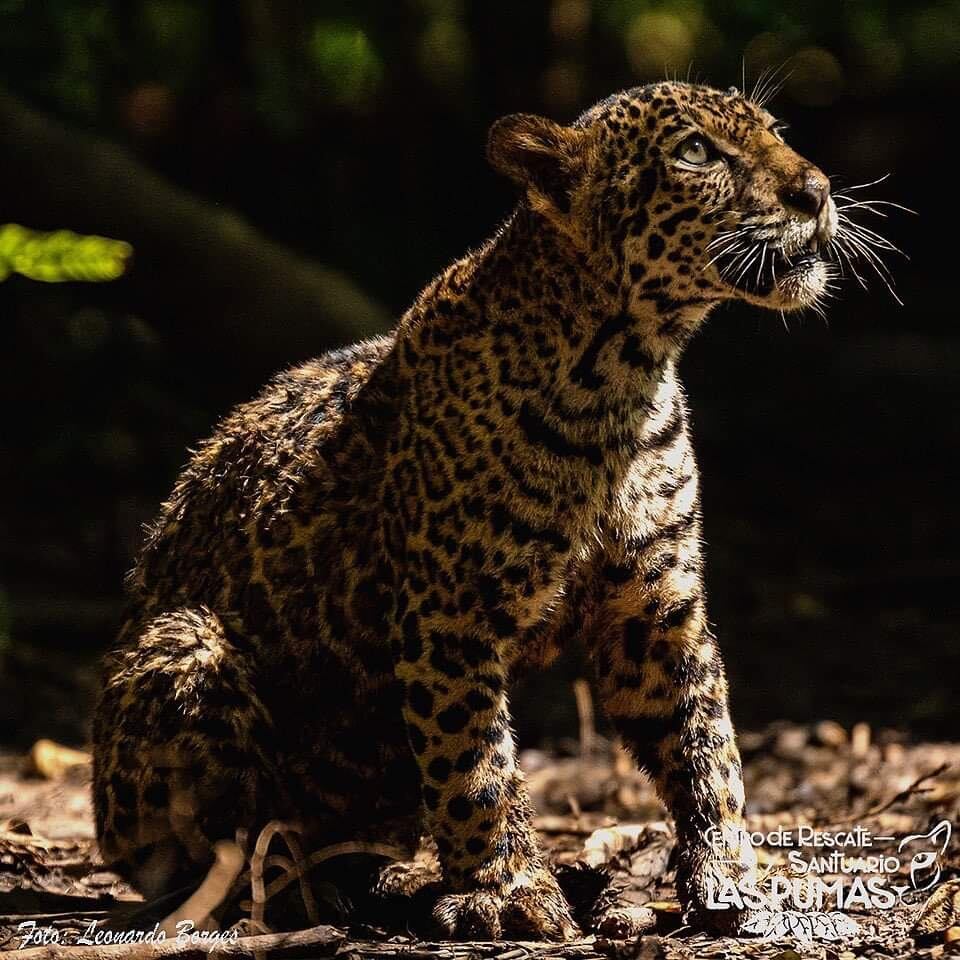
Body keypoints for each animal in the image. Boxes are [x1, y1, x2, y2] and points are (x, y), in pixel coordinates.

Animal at [93, 81, 843, 941]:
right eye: (697, 153)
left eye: (775, 131)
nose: (817, 190)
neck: (626, 373)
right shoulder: (451, 618)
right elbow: (475, 765)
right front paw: (506, 890)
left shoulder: (655, 607)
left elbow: (704, 739)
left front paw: (731, 876)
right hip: (184, 649)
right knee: (197, 854)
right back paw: (290, 891)